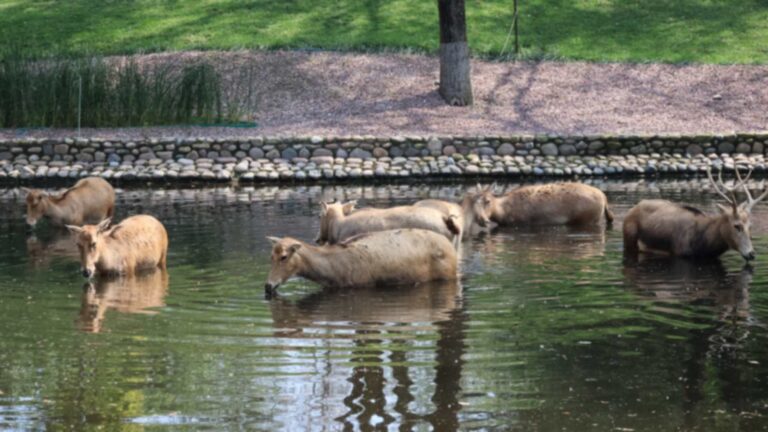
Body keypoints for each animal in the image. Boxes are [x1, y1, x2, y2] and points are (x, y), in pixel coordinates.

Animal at [623, 167, 768, 261]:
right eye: (736, 225)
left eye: (750, 226)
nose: (751, 254)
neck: (704, 246)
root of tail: (633, 208)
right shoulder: (679, 252)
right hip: (629, 240)